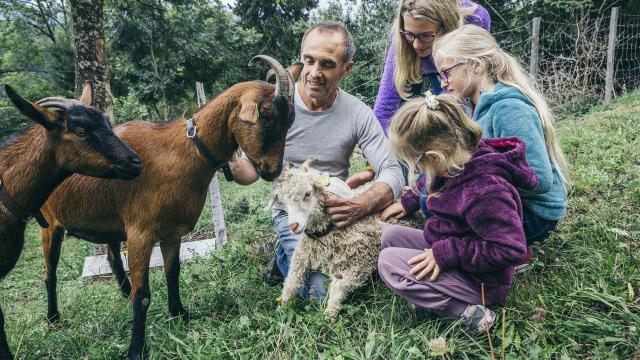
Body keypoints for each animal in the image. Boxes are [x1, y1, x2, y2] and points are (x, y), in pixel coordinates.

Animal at [39, 56, 300, 360]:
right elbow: (143, 294)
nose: (272, 170)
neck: (181, 152)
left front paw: (179, 315)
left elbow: (172, 272)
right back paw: (53, 320)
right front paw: (136, 349)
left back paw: (121, 295)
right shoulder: (140, 233)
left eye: (290, 119)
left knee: (113, 258)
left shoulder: (173, 232)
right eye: (266, 116)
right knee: (50, 274)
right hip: (50, 224)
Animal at [274, 159, 388, 316]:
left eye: (308, 193)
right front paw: (281, 309)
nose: (293, 226)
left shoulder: (359, 263)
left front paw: (328, 316)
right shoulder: (300, 258)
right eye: (284, 202)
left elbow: (337, 290)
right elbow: (291, 284)